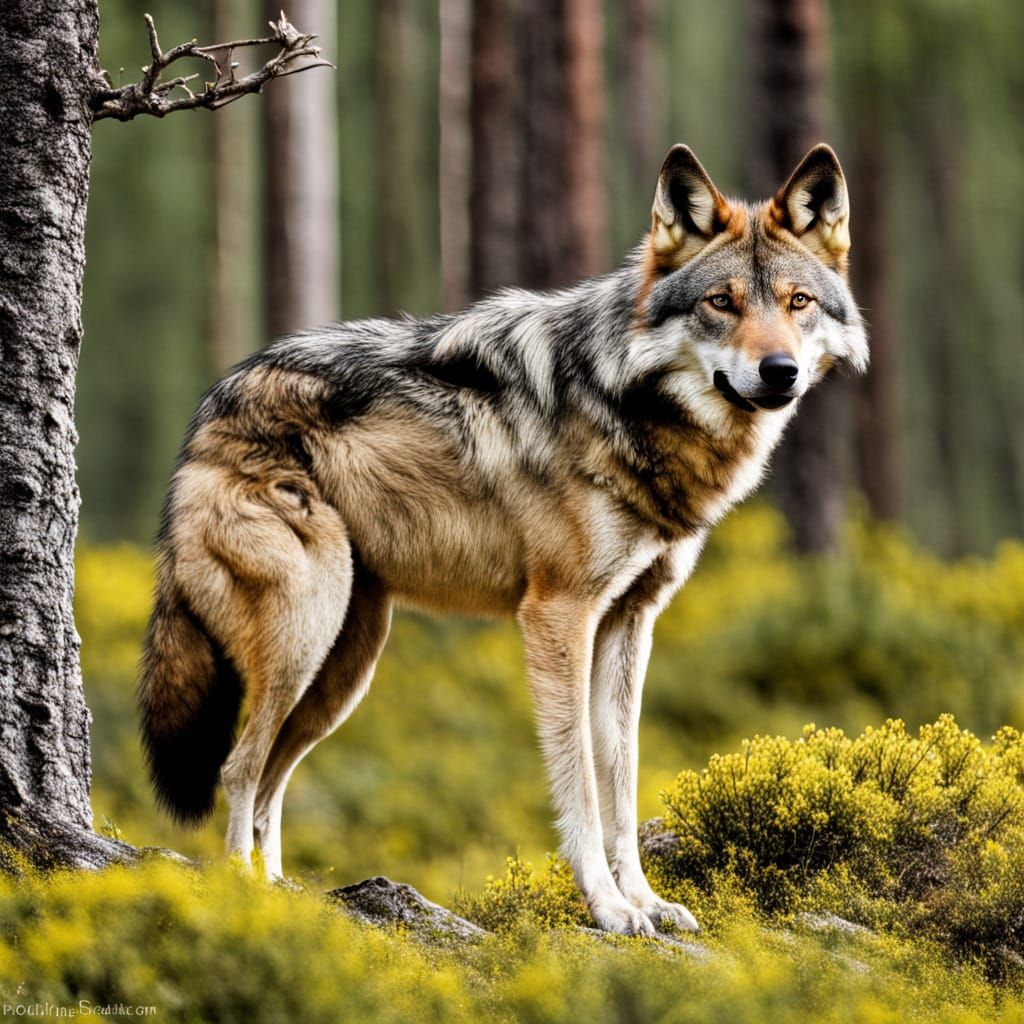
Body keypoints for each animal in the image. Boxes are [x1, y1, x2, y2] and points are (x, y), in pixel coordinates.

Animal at [138, 143, 866, 935]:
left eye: (797, 303)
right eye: (722, 303)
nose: (779, 371)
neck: (628, 405)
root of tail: (206, 414)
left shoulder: (630, 622)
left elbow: (623, 779)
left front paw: (645, 901)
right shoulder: (558, 615)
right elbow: (580, 785)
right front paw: (609, 909)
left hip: (347, 663)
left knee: (273, 775)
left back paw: (281, 893)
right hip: (308, 632)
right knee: (239, 767)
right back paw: (246, 900)